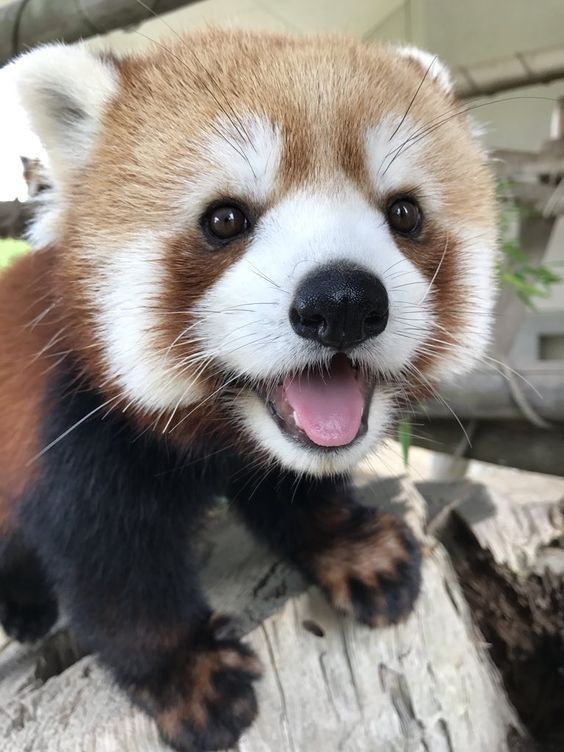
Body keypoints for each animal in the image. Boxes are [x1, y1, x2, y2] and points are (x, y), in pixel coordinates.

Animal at [0, 30, 494, 752]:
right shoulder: (71, 421)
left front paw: (355, 548)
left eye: (404, 212)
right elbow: (110, 568)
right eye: (225, 219)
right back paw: (26, 607)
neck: (215, 430)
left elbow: (294, 488)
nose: (342, 302)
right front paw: (189, 674)